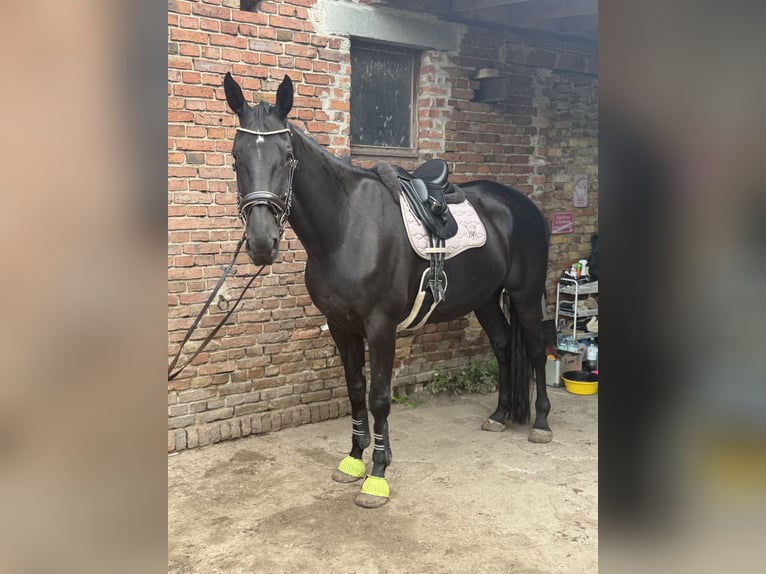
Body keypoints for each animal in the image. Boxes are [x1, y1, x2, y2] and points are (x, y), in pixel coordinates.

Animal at [222, 72, 552, 508]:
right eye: (236, 158)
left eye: (287, 157)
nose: (262, 243)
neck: (346, 229)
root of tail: (526, 206)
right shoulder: (341, 325)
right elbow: (355, 389)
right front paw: (353, 460)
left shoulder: (380, 326)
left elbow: (379, 396)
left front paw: (377, 475)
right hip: (484, 299)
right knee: (502, 345)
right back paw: (499, 415)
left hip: (526, 295)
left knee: (535, 350)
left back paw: (543, 422)